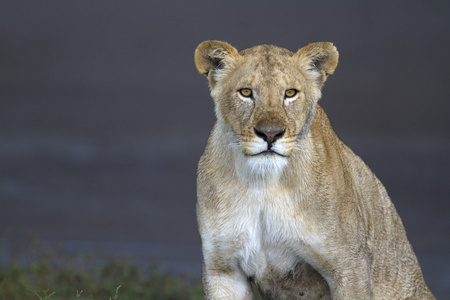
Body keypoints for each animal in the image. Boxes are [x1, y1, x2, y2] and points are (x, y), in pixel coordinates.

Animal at [192, 40, 432, 300]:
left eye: (290, 93)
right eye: (246, 92)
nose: (270, 134)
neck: (263, 185)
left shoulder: (349, 265)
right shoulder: (223, 270)